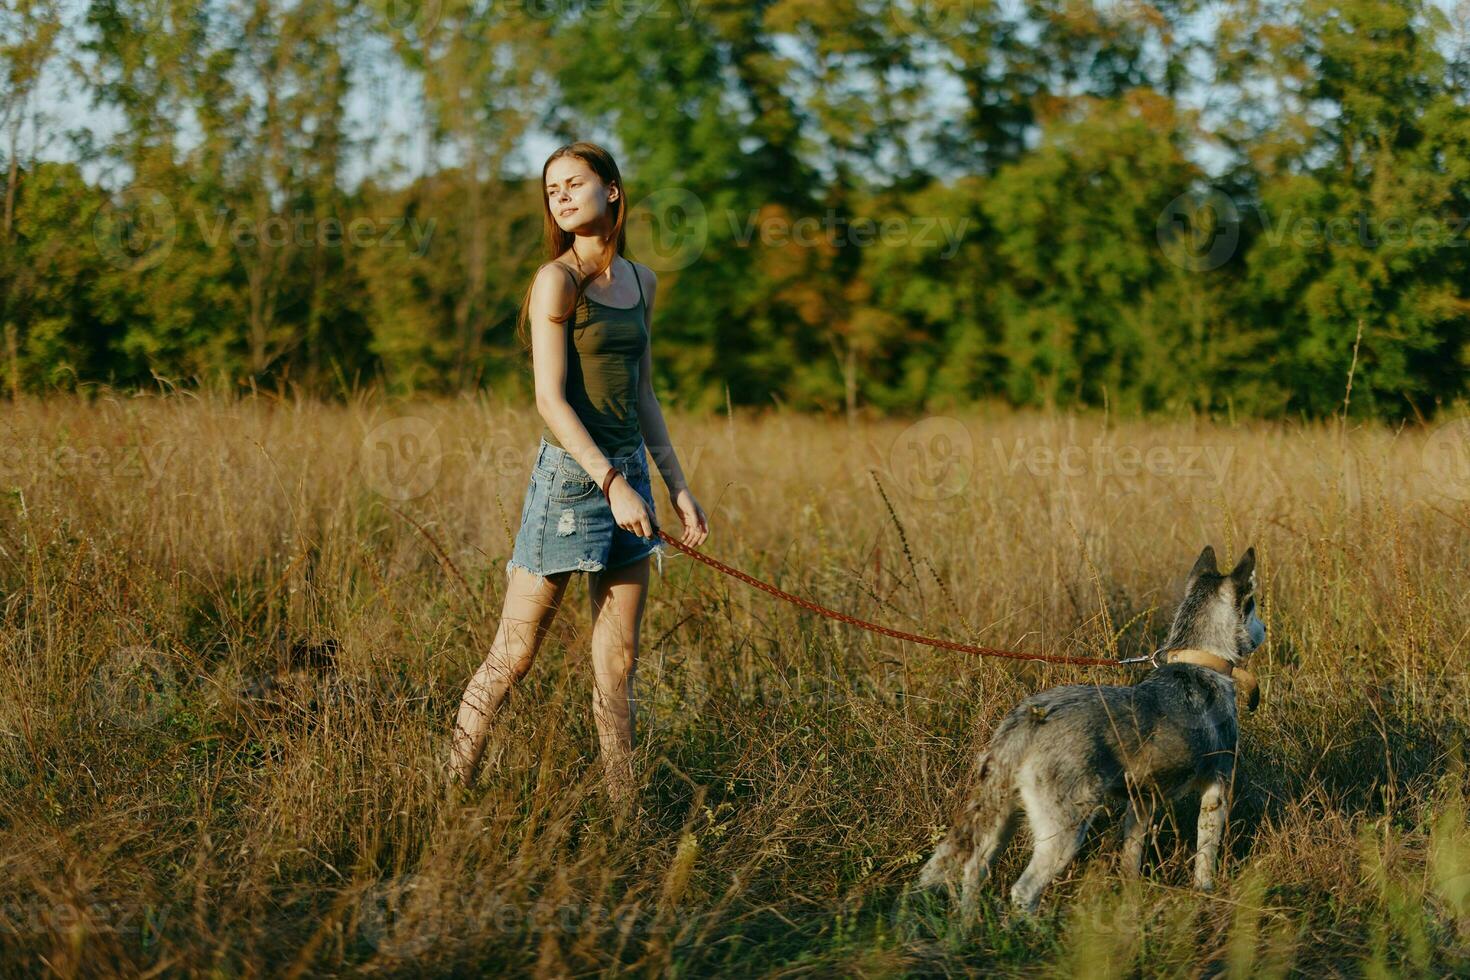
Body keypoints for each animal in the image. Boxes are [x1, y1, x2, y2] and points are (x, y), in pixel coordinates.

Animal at [917, 549, 1264, 916]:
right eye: (1255, 605)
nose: (1266, 628)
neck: (1199, 661)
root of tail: (1028, 719)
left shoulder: (1142, 800)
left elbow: (1130, 857)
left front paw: (1129, 899)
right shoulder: (1217, 787)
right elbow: (1206, 854)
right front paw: (1205, 892)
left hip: (1003, 816)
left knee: (974, 868)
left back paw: (968, 924)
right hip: (1065, 830)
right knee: (1022, 890)